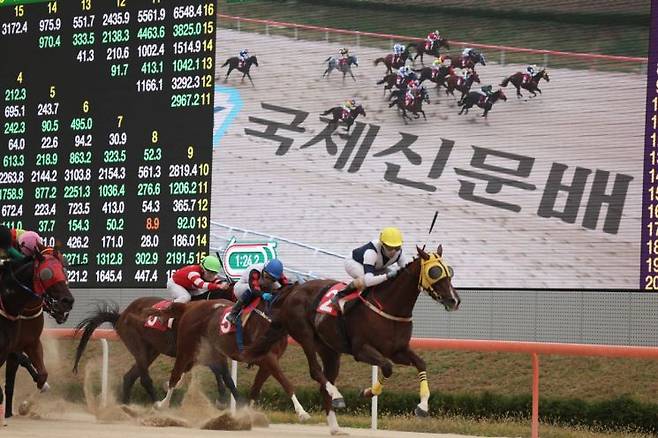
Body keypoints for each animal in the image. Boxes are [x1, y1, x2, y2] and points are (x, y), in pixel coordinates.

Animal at [0, 252, 73, 426]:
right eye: (47, 274)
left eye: (64, 270)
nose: (67, 301)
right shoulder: (12, 349)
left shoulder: (28, 343)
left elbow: (37, 374)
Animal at [73, 290, 237, 408]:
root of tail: (121, 316)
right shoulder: (189, 350)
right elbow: (217, 370)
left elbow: (221, 373)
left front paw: (222, 398)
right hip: (137, 344)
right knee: (144, 379)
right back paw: (157, 404)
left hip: (151, 351)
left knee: (129, 377)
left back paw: (126, 407)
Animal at [154, 290, 310, 420]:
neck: (269, 321)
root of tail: (190, 306)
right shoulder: (267, 358)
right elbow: (286, 383)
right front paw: (302, 413)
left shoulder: (268, 362)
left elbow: (255, 389)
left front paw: (249, 413)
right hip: (186, 348)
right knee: (176, 374)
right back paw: (162, 404)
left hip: (210, 351)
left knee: (201, 371)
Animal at [243, 246, 458, 434]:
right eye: (434, 272)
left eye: (450, 272)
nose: (454, 300)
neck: (389, 306)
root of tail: (294, 289)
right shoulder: (361, 350)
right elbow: (387, 367)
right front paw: (368, 392)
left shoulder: (397, 350)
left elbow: (420, 363)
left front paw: (422, 406)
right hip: (305, 336)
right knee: (315, 371)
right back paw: (336, 396)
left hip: (329, 350)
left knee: (324, 382)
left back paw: (335, 427)